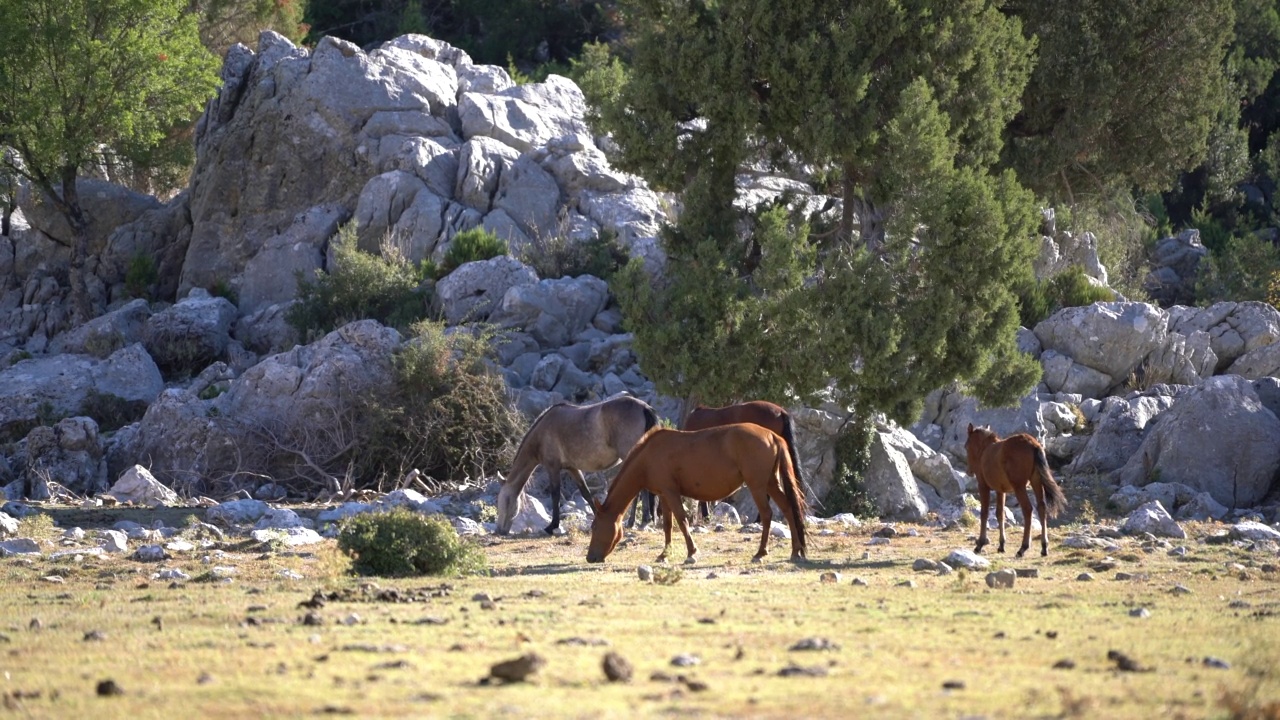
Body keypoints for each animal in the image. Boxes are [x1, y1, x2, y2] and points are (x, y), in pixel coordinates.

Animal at [496, 392, 660, 532]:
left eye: (505, 500)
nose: (500, 531)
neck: (542, 433)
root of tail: (643, 407)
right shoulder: (572, 468)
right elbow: (585, 493)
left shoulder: (552, 467)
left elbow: (555, 494)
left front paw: (552, 525)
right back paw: (632, 522)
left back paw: (643, 521)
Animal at [586, 422, 803, 563]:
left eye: (595, 526)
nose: (590, 557)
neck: (648, 456)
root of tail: (772, 435)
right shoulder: (664, 494)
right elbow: (667, 525)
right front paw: (664, 554)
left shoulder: (671, 493)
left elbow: (682, 521)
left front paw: (691, 553)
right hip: (770, 483)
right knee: (788, 508)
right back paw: (796, 551)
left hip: (757, 485)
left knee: (767, 514)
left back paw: (760, 553)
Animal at [967, 422, 1070, 558]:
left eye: (966, 446)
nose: (969, 471)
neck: (984, 451)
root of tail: (1033, 445)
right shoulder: (1001, 490)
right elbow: (1000, 513)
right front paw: (1001, 545)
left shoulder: (983, 486)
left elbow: (984, 513)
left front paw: (980, 544)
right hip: (1036, 481)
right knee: (1041, 508)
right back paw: (1044, 547)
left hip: (1019, 486)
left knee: (1028, 509)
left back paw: (1023, 548)